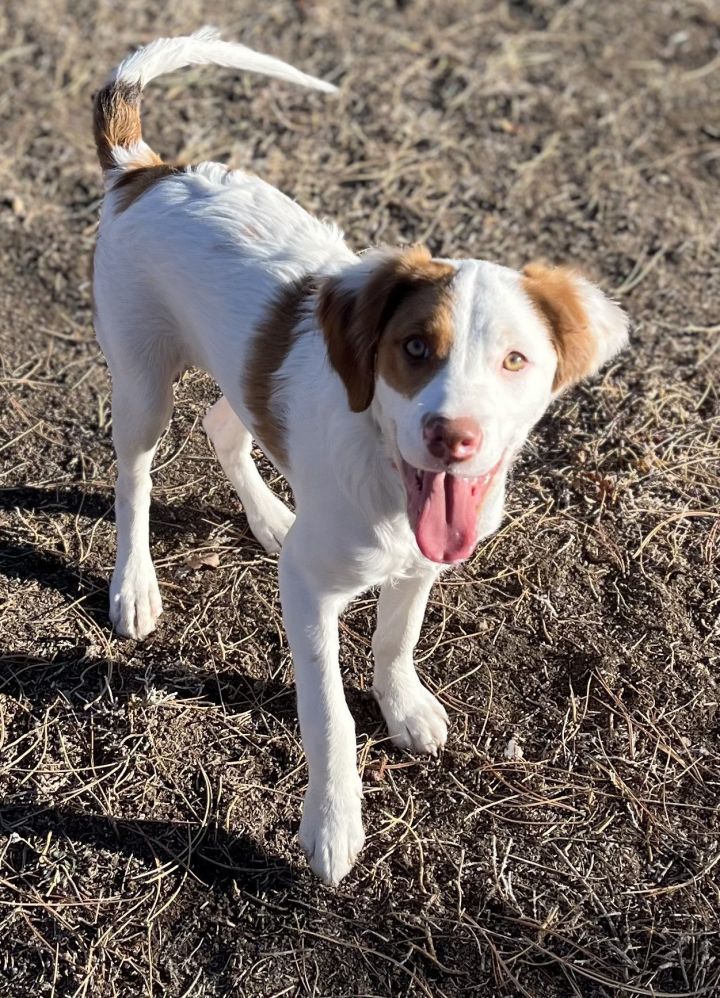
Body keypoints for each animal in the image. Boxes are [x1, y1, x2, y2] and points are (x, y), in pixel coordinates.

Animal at [93, 27, 628, 888]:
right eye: (414, 349)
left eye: (515, 360)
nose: (453, 437)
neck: (385, 475)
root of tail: (146, 170)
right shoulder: (310, 594)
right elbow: (329, 715)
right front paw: (333, 824)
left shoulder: (420, 562)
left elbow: (396, 639)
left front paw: (403, 704)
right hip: (141, 378)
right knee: (136, 476)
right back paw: (135, 585)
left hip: (238, 377)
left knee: (224, 424)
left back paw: (272, 519)